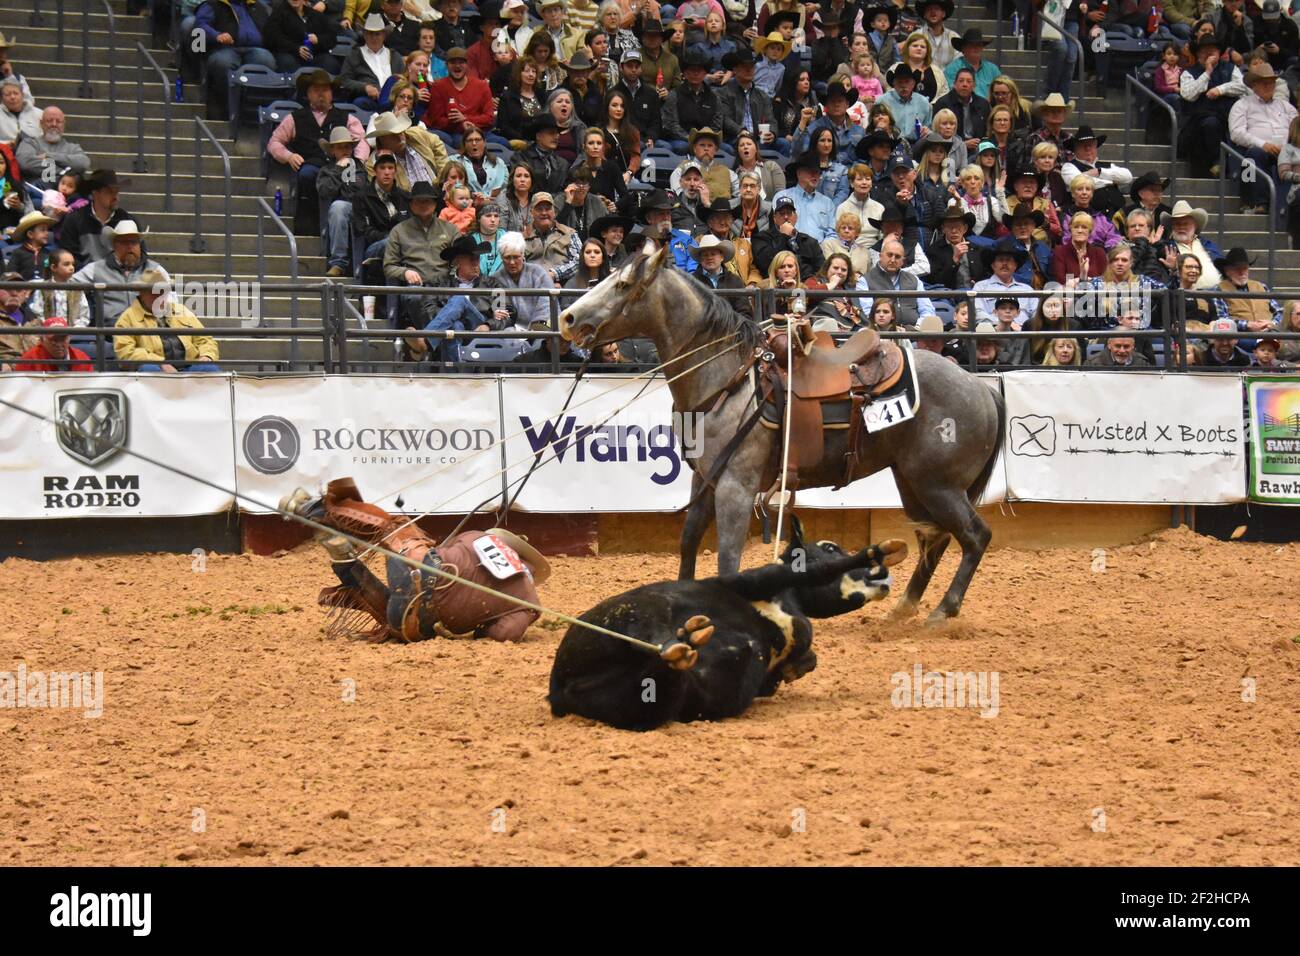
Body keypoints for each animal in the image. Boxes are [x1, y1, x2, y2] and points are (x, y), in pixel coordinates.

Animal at [559, 247, 1003, 624]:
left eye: (621, 285)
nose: (567, 318)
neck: (729, 380)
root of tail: (982, 388)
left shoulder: (735, 487)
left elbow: (728, 558)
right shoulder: (704, 480)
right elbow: (688, 541)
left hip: (938, 484)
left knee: (974, 536)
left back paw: (942, 612)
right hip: (912, 481)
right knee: (936, 539)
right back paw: (902, 610)